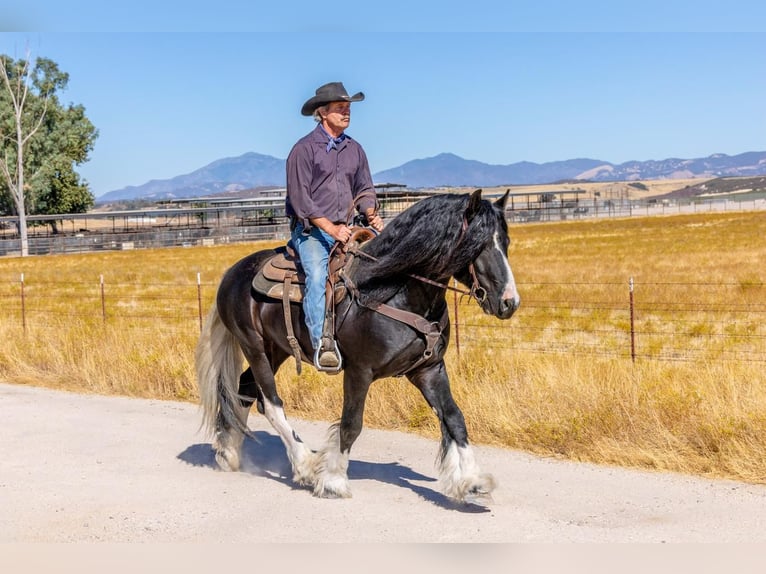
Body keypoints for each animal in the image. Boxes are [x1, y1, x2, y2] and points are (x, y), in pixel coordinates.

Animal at [198, 190, 520, 504]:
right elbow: (351, 423)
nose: (510, 302)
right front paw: (333, 481)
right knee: (270, 403)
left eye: (505, 243)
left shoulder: (429, 370)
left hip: (276, 350)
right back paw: (305, 465)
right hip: (254, 347)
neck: (394, 292)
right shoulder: (359, 371)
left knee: (244, 390)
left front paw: (472, 480)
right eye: (478, 245)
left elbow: (454, 417)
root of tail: (231, 274)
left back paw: (228, 453)